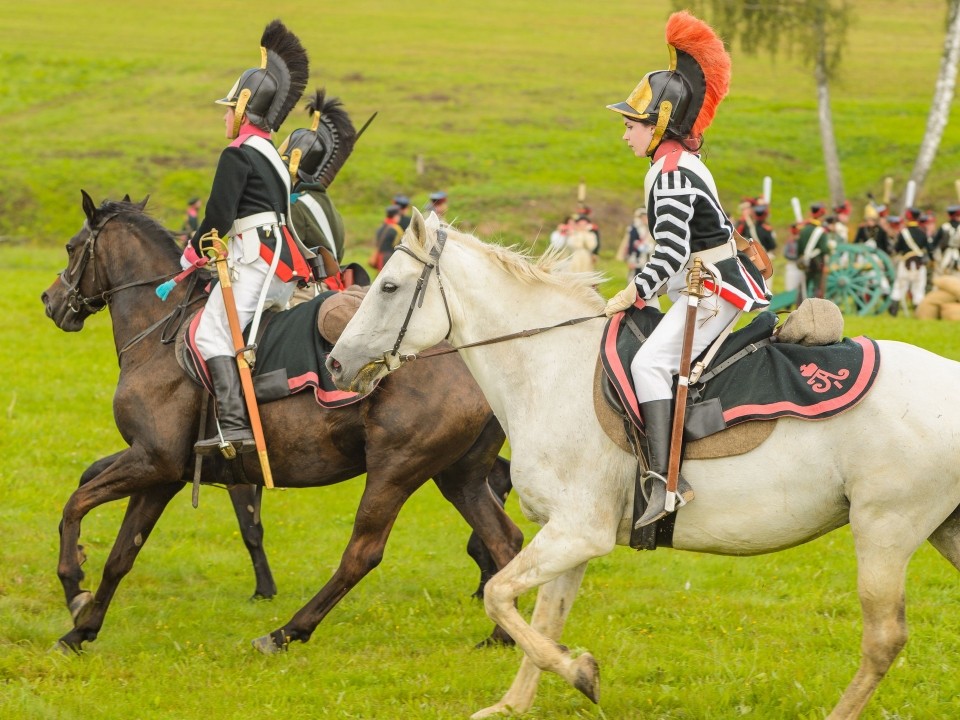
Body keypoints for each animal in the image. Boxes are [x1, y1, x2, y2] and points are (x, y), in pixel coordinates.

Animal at [41, 191, 520, 652]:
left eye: (71, 247)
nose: (50, 301)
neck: (160, 332)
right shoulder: (162, 473)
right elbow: (121, 551)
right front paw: (82, 629)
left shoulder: (152, 462)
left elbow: (75, 504)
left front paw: (73, 587)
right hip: (457, 477)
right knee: (505, 538)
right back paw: (500, 634)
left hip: (395, 472)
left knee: (363, 553)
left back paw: (285, 632)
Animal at [328, 210, 960, 720]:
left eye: (388, 285)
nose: (336, 362)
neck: (550, 365)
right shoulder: (570, 537)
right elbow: (543, 618)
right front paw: (515, 703)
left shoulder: (576, 532)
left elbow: (500, 597)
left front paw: (579, 672)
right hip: (942, 531)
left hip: (884, 532)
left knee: (883, 638)